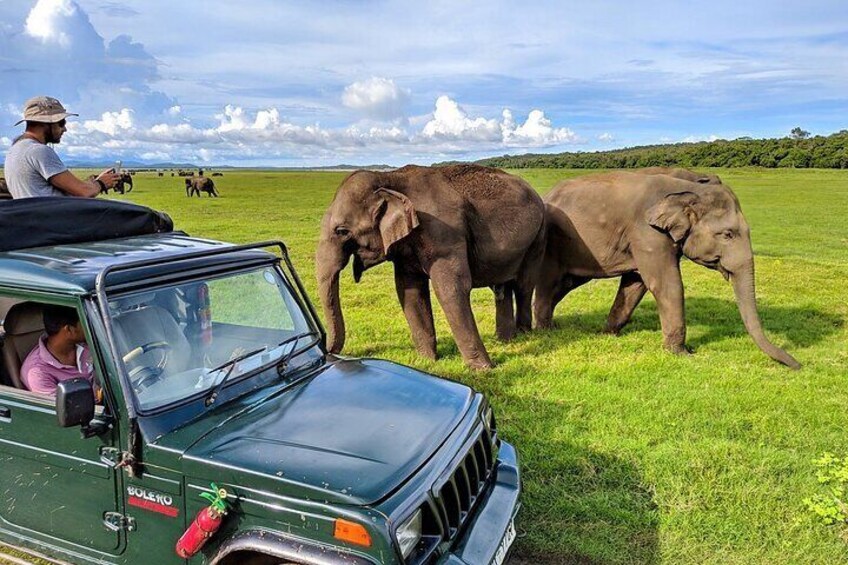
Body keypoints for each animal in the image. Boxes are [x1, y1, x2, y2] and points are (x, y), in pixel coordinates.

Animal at [314, 162, 548, 370]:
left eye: (341, 231)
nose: (327, 351)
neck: (390, 178)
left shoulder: (444, 233)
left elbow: (451, 289)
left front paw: (483, 368)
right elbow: (409, 292)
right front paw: (427, 361)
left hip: (539, 235)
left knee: (524, 285)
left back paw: (525, 333)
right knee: (502, 287)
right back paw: (505, 340)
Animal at [536, 170, 800, 368]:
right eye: (728, 234)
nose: (798, 365)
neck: (687, 187)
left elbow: (635, 284)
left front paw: (607, 335)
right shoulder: (647, 232)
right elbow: (666, 283)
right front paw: (681, 353)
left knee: (564, 285)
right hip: (551, 244)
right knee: (548, 284)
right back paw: (544, 331)